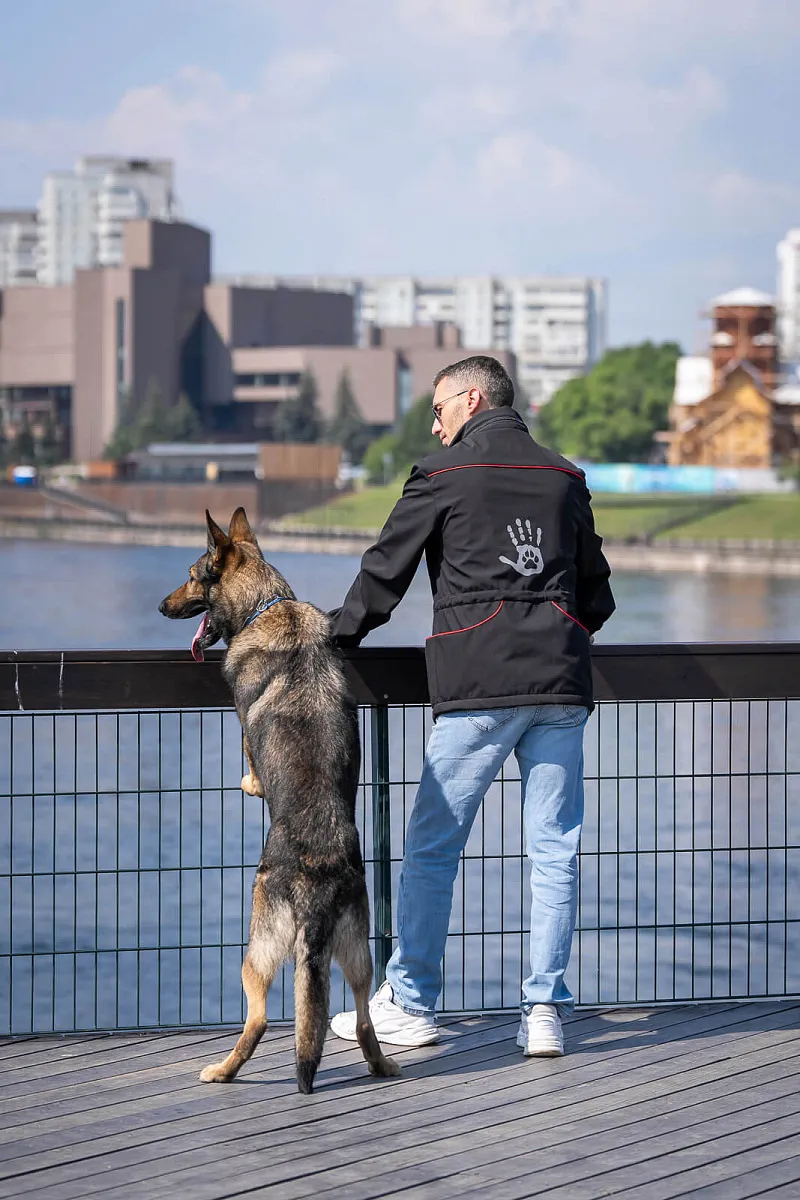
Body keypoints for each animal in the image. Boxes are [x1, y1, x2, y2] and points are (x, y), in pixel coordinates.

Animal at [158, 511, 400, 1094]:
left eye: (193, 576)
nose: (160, 607)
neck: (270, 604)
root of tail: (316, 880)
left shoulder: (246, 733)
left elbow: (250, 761)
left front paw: (248, 784)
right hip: (359, 955)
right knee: (362, 1017)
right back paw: (381, 1065)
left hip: (256, 951)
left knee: (261, 1018)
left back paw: (223, 1070)